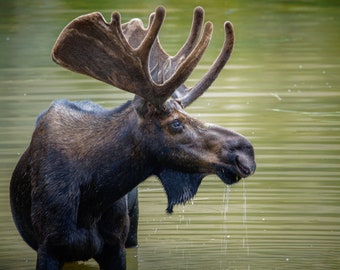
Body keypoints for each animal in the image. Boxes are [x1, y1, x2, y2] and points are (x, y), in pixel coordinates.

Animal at [9, 5, 255, 270]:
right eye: (176, 123)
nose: (246, 152)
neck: (93, 196)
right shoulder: (49, 247)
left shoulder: (116, 245)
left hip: (133, 228)